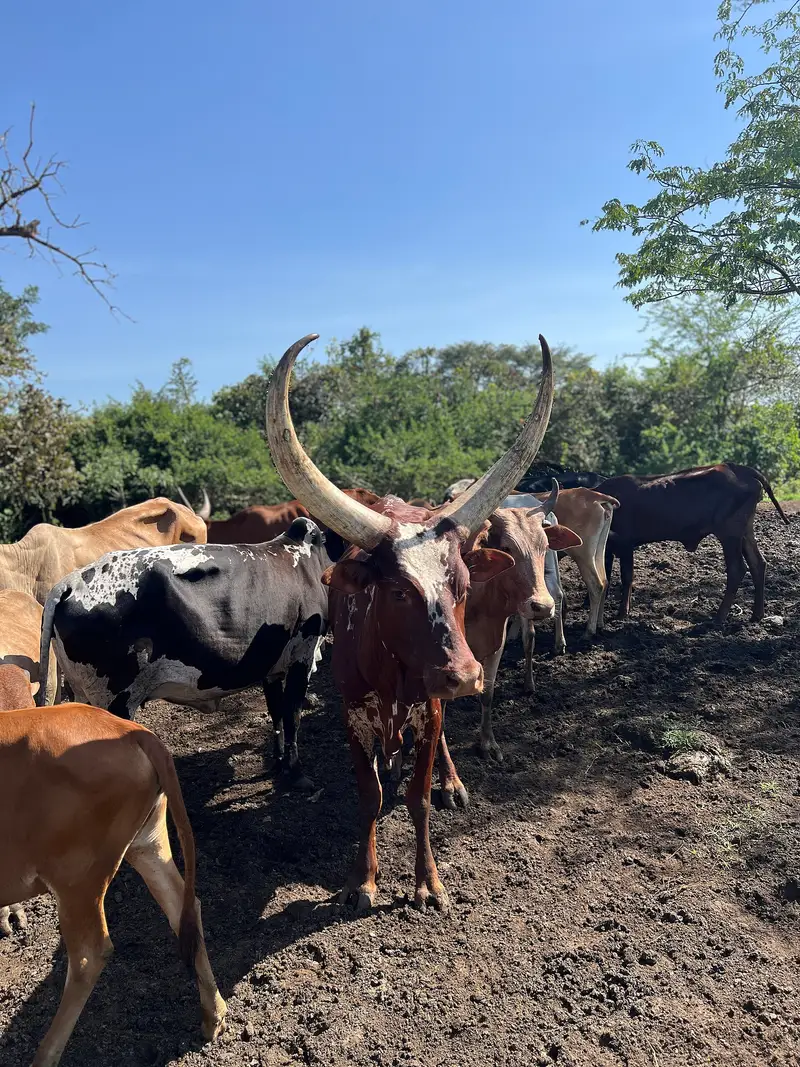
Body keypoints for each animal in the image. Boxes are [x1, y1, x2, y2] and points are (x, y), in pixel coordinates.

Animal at [0, 702, 226, 1064]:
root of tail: (133, 731)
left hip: (77, 878)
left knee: (88, 956)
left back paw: (45, 1055)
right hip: (147, 844)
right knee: (184, 906)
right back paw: (213, 1014)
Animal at [37, 518, 330, 789]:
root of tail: (69, 582)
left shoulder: (272, 668)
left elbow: (276, 712)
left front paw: (279, 764)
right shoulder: (302, 654)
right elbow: (292, 715)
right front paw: (297, 774)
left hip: (84, 695)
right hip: (115, 700)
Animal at [265, 332, 555, 912]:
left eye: (462, 585)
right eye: (398, 591)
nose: (465, 676)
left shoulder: (430, 706)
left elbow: (418, 799)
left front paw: (428, 882)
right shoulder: (353, 713)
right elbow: (369, 797)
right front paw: (363, 881)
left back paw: (451, 782)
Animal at [597, 464, 790, 625]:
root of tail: (739, 468)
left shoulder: (625, 543)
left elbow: (626, 577)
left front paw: (622, 613)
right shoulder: (606, 550)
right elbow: (606, 576)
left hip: (729, 533)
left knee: (737, 569)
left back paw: (719, 618)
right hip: (745, 532)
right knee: (758, 564)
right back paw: (757, 615)